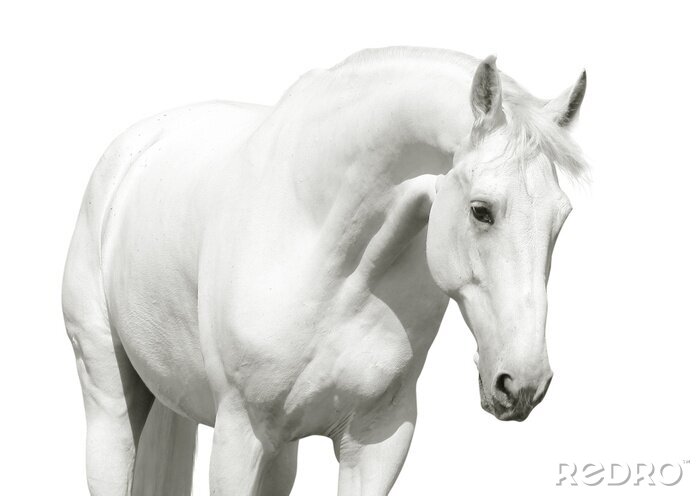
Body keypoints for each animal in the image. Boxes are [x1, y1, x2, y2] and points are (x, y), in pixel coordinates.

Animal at [62, 47, 587, 496]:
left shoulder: (376, 442)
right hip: (109, 399)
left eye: (562, 218)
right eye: (482, 211)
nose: (523, 383)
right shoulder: (238, 434)